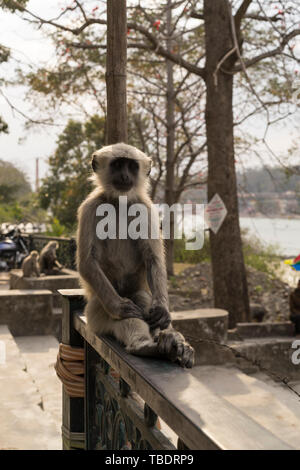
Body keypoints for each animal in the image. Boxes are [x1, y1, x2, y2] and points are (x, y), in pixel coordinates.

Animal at [77, 141, 195, 370]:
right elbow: (87, 263)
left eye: (131, 166)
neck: (119, 203)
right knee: (124, 315)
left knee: (143, 298)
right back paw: (143, 345)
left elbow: (153, 259)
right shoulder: (90, 207)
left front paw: (163, 312)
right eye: (118, 165)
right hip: (95, 312)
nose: (124, 176)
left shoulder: (145, 207)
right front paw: (121, 308)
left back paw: (170, 340)